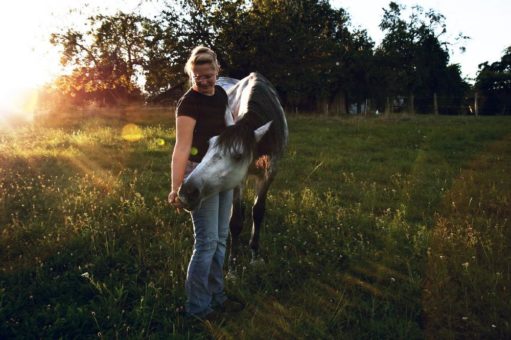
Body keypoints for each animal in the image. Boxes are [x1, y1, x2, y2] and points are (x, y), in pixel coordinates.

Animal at [178, 72, 288, 274]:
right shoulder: (238, 180)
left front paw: (255, 256)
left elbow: (258, 212)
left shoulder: (270, 173)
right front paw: (232, 267)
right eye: (210, 143)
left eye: (238, 156)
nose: (187, 192)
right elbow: (235, 221)